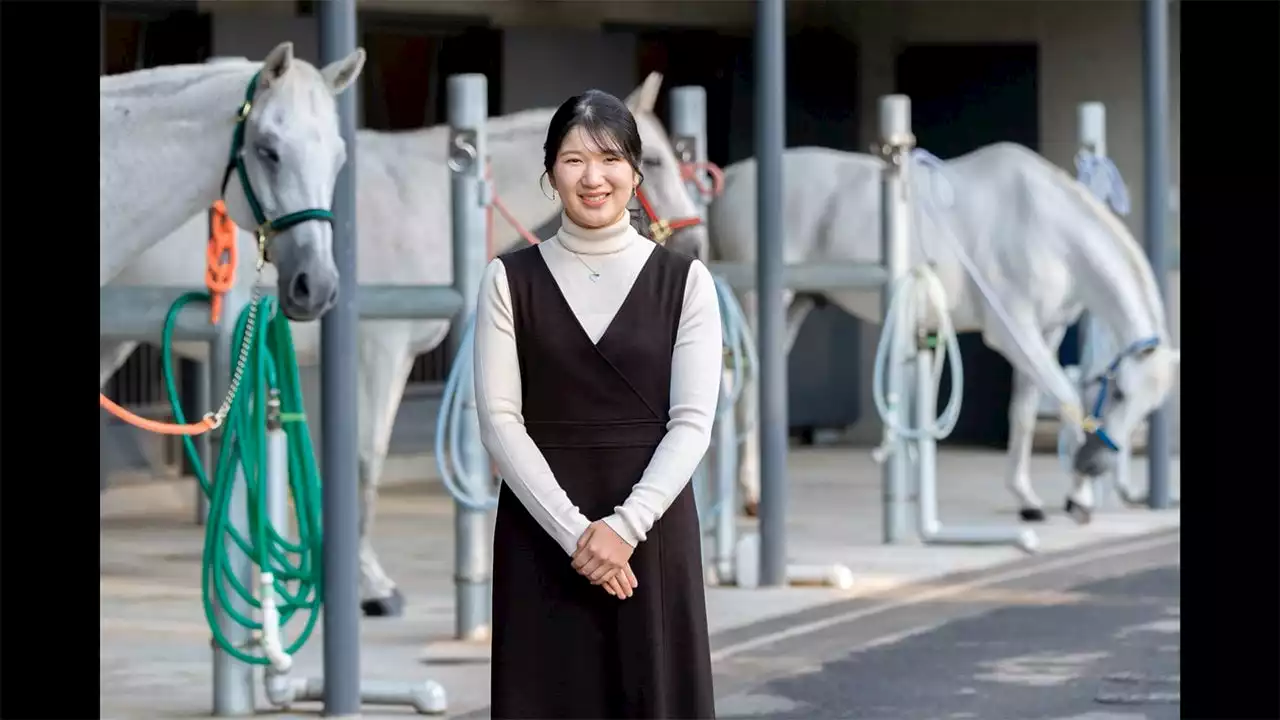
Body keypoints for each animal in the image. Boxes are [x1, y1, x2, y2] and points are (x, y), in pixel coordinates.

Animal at [102, 71, 711, 609]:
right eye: (655, 160)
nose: (695, 243)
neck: (422, 197)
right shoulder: (380, 349)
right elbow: (365, 462)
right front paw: (370, 586)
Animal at [680, 141, 1177, 520]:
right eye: (1119, 393)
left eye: (1149, 408)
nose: (1096, 464)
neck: (1043, 226)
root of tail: (733, 179)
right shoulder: (1013, 334)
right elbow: (1067, 396)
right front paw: (1077, 499)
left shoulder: (1047, 332)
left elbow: (1025, 412)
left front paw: (1032, 498)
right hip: (757, 302)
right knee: (741, 390)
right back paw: (751, 496)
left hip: (794, 306)